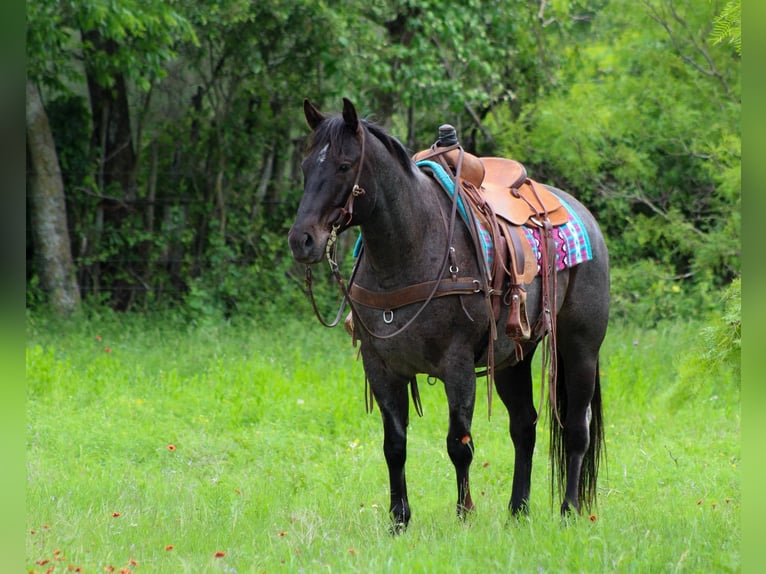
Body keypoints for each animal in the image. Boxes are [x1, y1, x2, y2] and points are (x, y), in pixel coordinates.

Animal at [288, 98, 609, 530]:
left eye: (343, 165)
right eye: (307, 166)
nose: (302, 240)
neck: (412, 247)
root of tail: (581, 214)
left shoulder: (457, 366)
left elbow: (459, 444)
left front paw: (464, 516)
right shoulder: (381, 367)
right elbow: (394, 446)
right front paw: (399, 521)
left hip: (580, 349)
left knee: (576, 429)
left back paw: (569, 510)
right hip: (512, 358)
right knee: (524, 426)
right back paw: (517, 511)